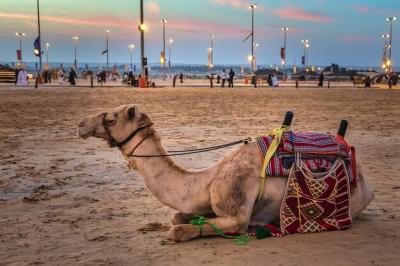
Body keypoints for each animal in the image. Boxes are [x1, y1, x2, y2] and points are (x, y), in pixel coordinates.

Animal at [78, 105, 376, 242]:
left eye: (111, 119)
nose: (81, 124)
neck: (207, 179)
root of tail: (366, 182)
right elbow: (177, 216)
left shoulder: (236, 215)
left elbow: (178, 230)